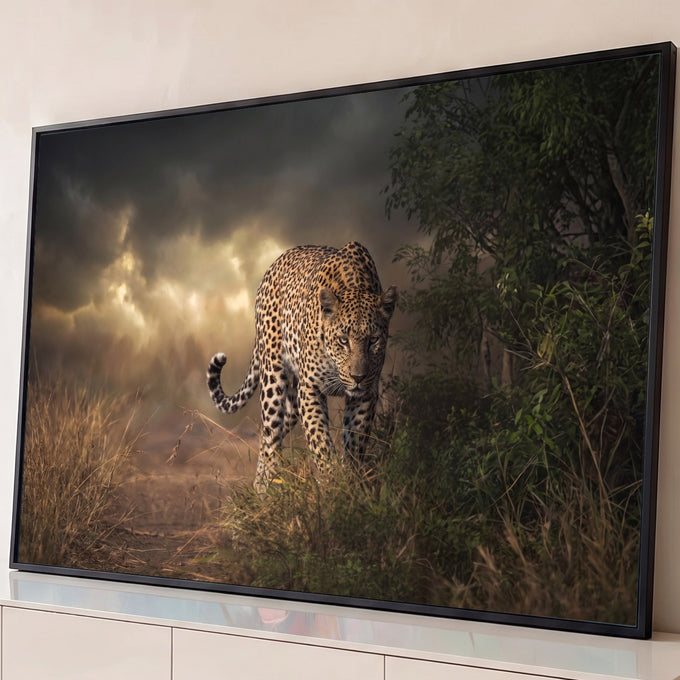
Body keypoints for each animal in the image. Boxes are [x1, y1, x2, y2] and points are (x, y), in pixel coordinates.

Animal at [207, 240, 397, 493]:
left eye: (373, 340)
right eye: (343, 340)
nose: (358, 376)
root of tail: (276, 262)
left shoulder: (366, 394)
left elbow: (355, 441)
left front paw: (350, 483)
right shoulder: (310, 389)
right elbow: (320, 440)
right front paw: (330, 481)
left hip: (293, 403)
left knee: (269, 438)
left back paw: (260, 486)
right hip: (273, 380)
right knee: (270, 437)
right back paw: (264, 490)